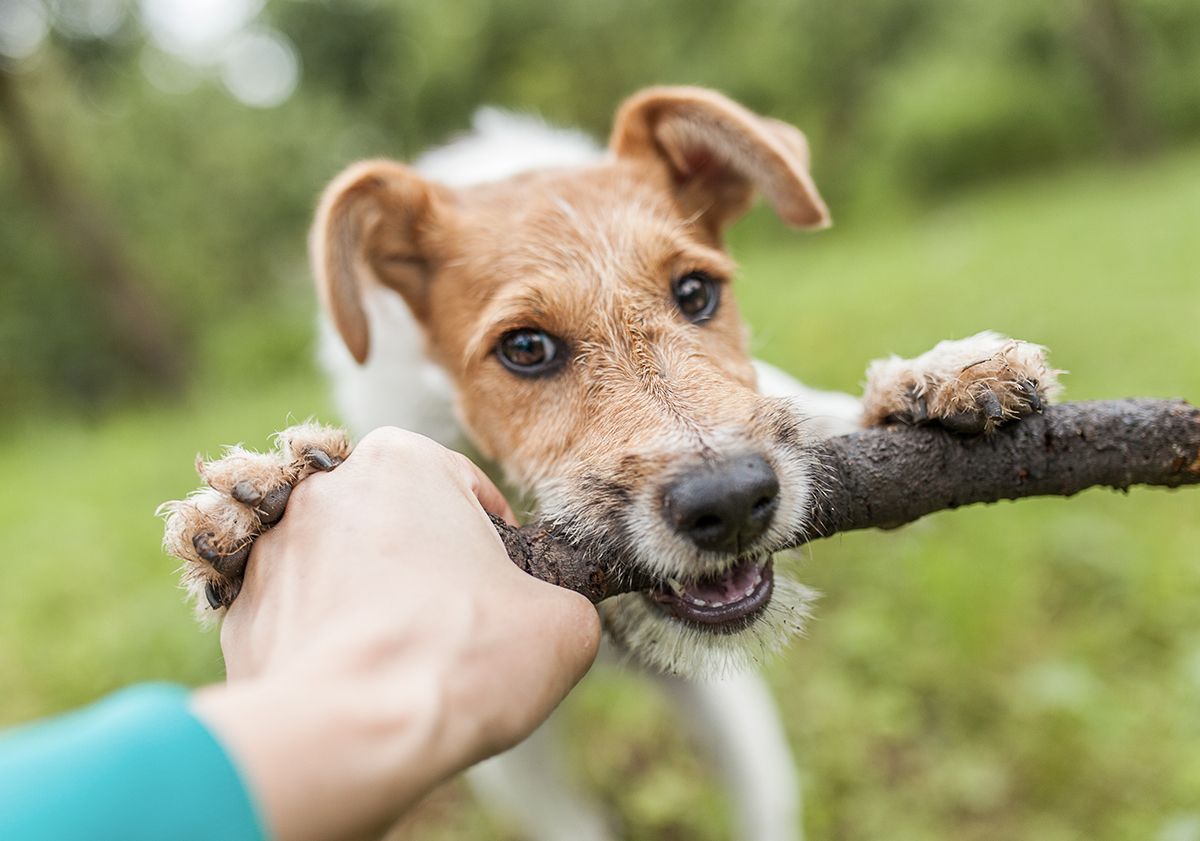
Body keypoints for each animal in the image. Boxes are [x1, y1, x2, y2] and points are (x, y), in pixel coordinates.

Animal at [162, 86, 1060, 839]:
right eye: (524, 348)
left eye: (697, 293)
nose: (732, 502)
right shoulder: (518, 760)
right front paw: (261, 501)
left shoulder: (724, 703)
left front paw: (931, 379)